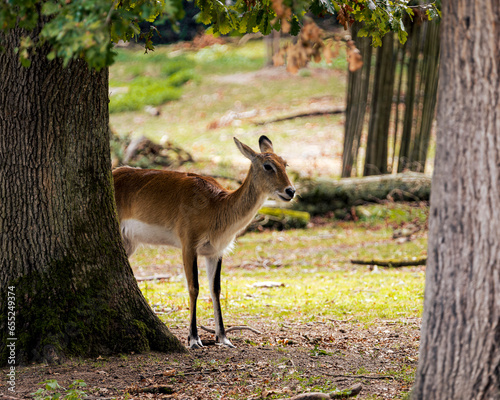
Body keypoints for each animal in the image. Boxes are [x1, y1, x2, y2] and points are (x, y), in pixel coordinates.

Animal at [112, 136, 292, 348]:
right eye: (267, 165)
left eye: (285, 164)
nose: (290, 191)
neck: (217, 207)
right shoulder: (188, 244)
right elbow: (194, 287)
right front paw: (194, 339)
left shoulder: (215, 251)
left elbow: (216, 289)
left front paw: (223, 338)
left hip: (128, 243)